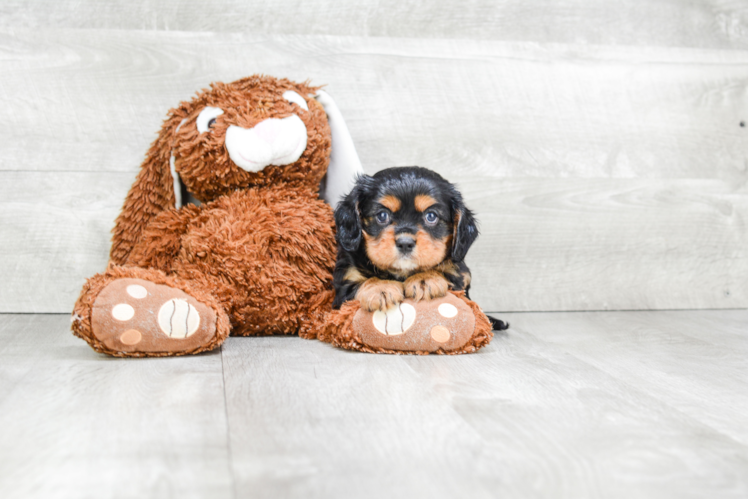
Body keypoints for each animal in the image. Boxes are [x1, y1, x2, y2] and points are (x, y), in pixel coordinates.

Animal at [334, 166, 508, 332]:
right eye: (382, 215)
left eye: (431, 216)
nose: (405, 243)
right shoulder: (343, 288)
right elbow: (358, 285)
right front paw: (380, 288)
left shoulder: (461, 276)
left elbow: (448, 272)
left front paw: (425, 278)